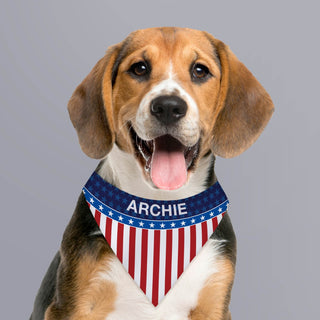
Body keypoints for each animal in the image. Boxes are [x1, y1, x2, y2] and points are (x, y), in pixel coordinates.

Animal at [30, 28, 274, 320]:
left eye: (200, 70)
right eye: (140, 68)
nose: (168, 106)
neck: (160, 211)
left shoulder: (213, 306)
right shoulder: (71, 307)